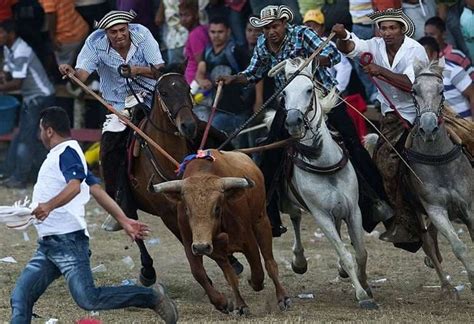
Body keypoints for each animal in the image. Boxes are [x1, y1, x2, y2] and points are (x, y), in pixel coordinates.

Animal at [154, 151, 290, 316]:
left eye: (217, 208)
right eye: (187, 209)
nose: (201, 247)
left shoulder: (248, 241)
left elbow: (258, 272)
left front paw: (252, 283)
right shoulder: (191, 244)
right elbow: (201, 273)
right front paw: (223, 303)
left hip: (261, 222)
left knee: (270, 263)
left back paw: (283, 298)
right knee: (230, 274)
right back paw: (240, 305)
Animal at [268, 57, 376, 308]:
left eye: (309, 89)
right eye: (283, 93)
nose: (294, 122)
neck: (324, 162)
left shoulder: (353, 210)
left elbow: (361, 253)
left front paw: (365, 285)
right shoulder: (320, 215)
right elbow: (346, 254)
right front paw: (362, 295)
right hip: (287, 202)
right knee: (295, 217)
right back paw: (299, 261)